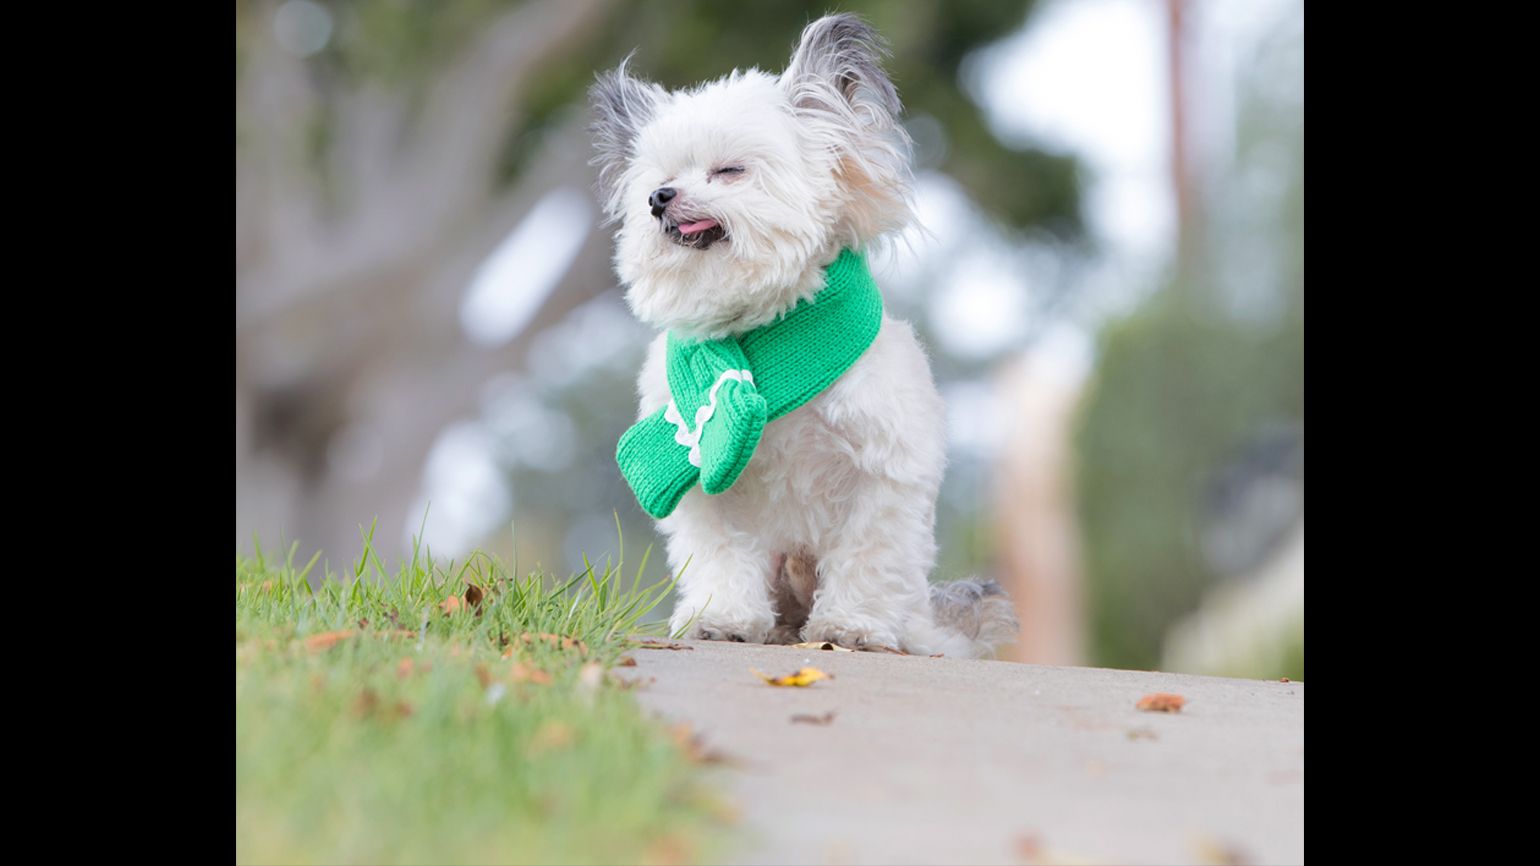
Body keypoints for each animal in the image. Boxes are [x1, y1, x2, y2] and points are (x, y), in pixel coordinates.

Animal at [594, 11, 1016, 653]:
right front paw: (724, 618)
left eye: (729, 170)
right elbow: (722, 557)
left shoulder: (883, 473)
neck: (763, 328)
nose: (658, 198)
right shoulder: (706, 484)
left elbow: (868, 555)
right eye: (661, 178)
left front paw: (853, 626)